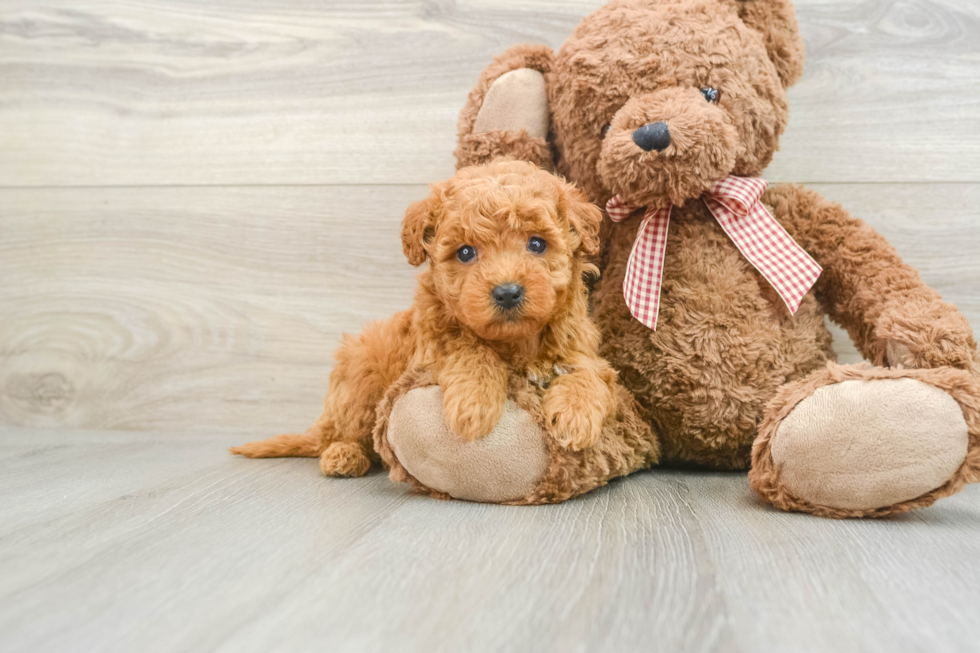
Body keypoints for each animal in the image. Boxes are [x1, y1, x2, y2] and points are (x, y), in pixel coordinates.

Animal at [231, 158, 616, 474]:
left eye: (537, 244)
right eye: (465, 253)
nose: (507, 292)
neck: (514, 341)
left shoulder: (582, 349)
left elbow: (586, 373)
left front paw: (576, 415)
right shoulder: (431, 349)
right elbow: (469, 350)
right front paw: (474, 405)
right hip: (361, 380)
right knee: (345, 432)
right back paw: (344, 455)